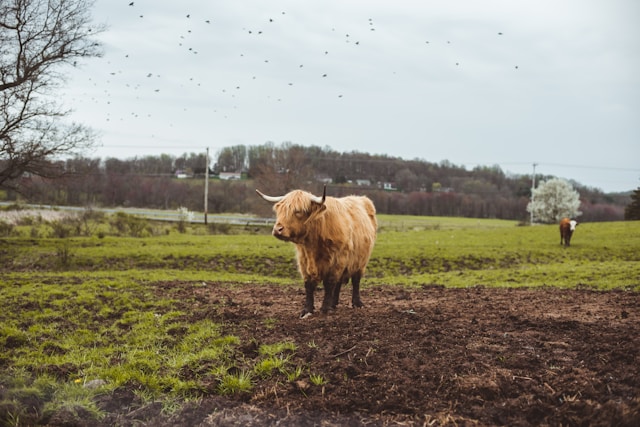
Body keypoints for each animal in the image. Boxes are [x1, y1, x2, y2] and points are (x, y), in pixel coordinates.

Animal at [256, 186, 377, 318]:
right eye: (280, 210)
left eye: (298, 211)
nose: (277, 229)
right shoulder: (304, 261)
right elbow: (309, 285)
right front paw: (307, 310)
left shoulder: (337, 260)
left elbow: (329, 283)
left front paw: (325, 309)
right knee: (339, 282)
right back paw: (334, 304)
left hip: (360, 260)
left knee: (356, 280)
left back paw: (357, 303)